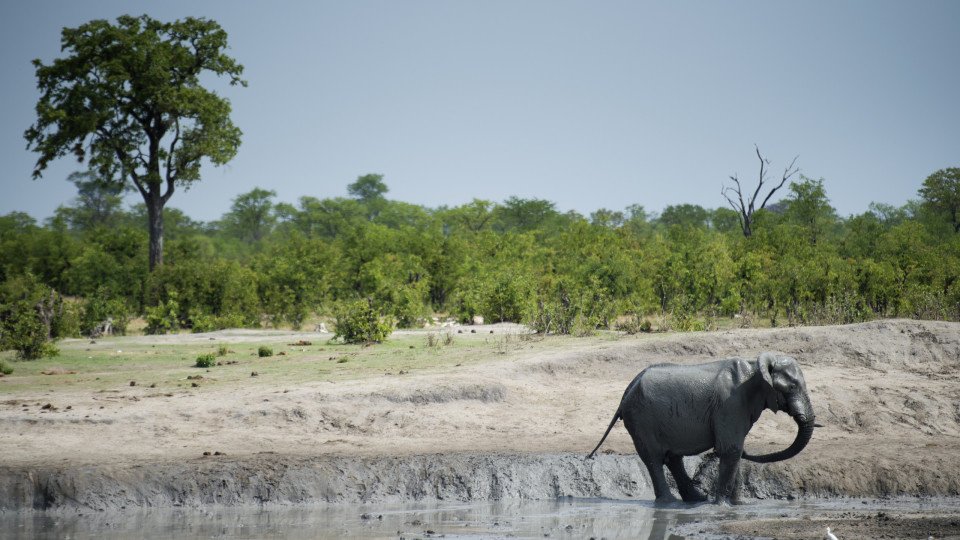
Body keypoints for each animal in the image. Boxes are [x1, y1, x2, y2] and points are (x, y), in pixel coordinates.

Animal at [587, 352, 815, 504]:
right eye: (792, 386)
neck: (754, 368)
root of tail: (627, 390)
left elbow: (735, 452)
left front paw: (738, 506)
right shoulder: (730, 404)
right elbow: (731, 450)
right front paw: (721, 506)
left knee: (673, 458)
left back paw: (696, 500)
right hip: (641, 418)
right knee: (654, 459)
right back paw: (671, 503)